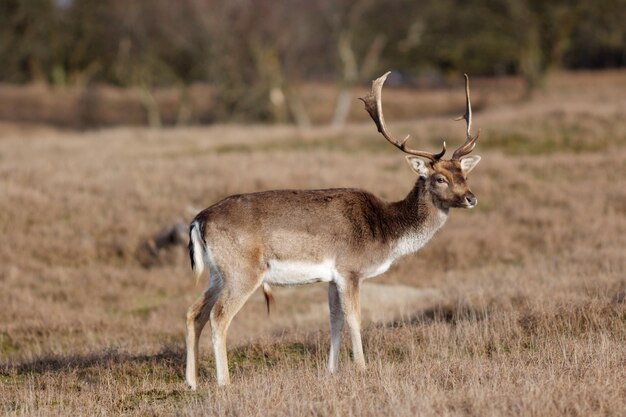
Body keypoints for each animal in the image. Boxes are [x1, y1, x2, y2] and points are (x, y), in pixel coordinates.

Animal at [183, 70, 480, 386]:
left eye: (464, 174)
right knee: (218, 316)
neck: (386, 231)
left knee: (193, 313)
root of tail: (198, 219)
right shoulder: (350, 269)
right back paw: (224, 382)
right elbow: (354, 318)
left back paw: (192, 382)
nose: (471, 198)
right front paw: (362, 368)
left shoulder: (330, 278)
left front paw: (332, 369)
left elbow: (334, 320)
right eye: (439, 178)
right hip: (242, 271)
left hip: (217, 273)